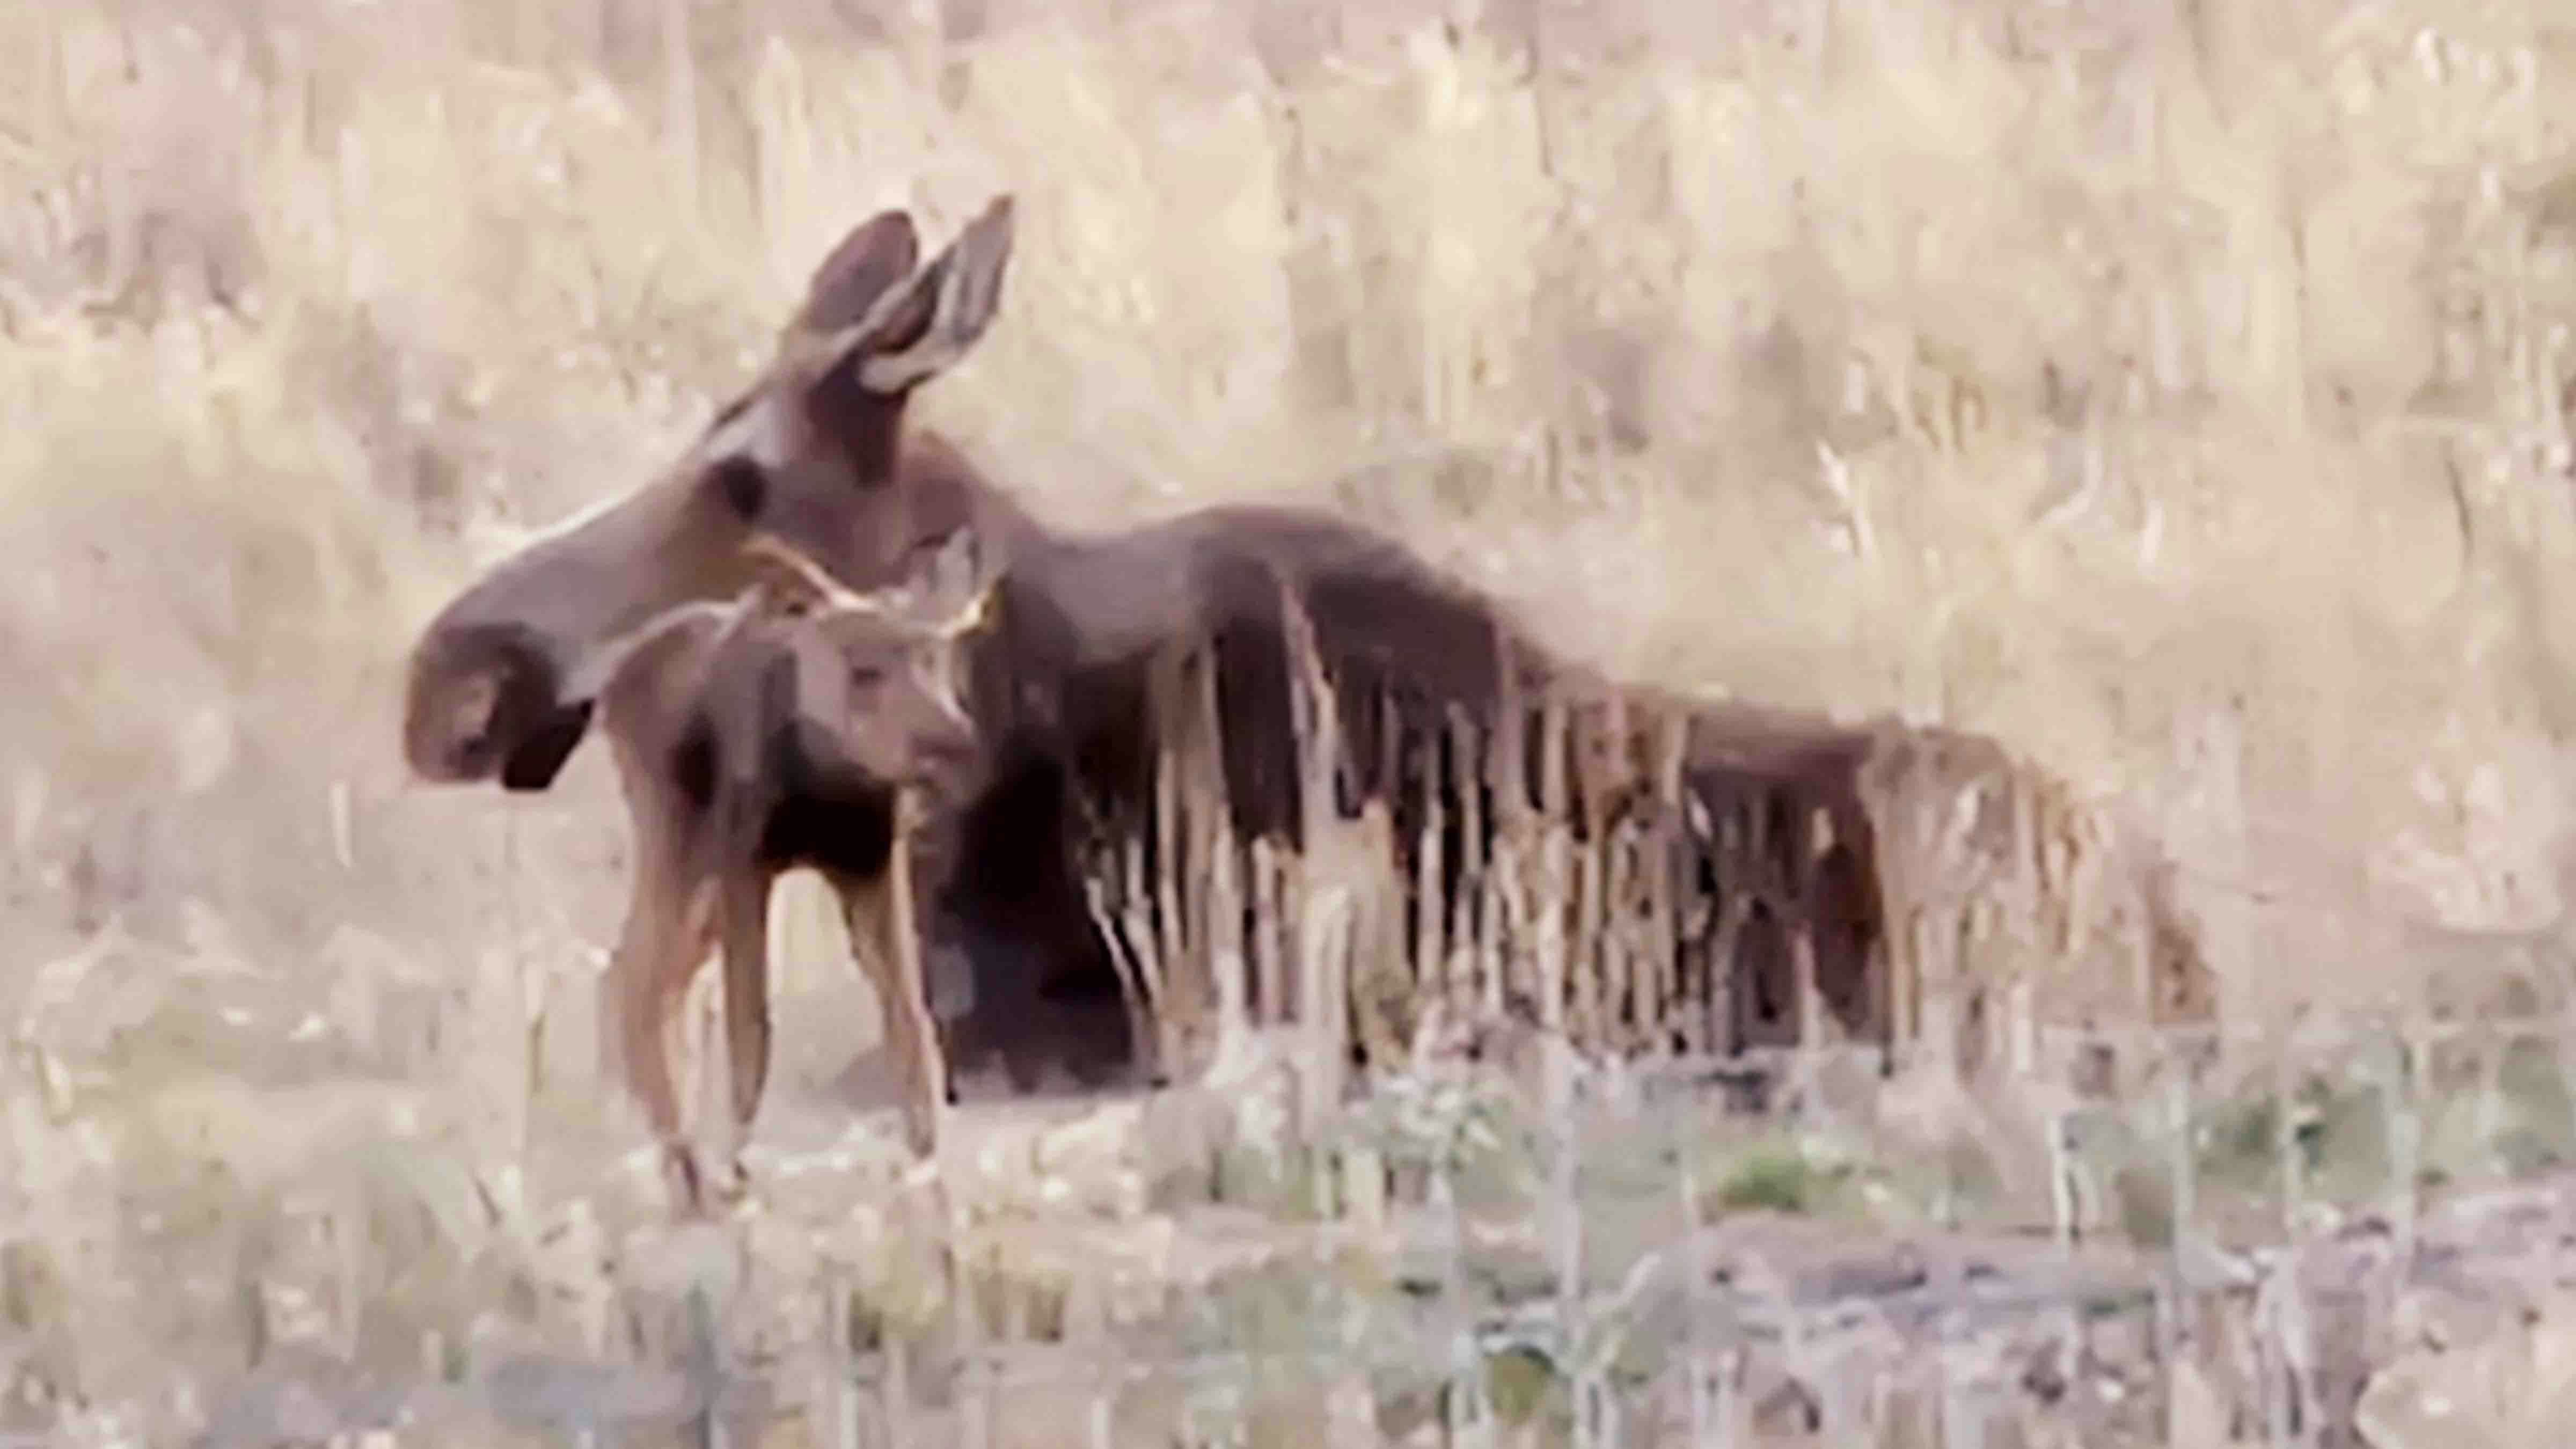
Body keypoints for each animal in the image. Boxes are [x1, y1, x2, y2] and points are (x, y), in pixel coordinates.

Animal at [592, 523, 994, 1201]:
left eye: (938, 657)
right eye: (863, 670)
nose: (956, 747)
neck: (823, 787)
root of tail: (609, 689)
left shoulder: (871, 867)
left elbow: (911, 1029)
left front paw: (932, 1173)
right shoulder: (746, 867)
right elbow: (750, 1033)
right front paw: (736, 1174)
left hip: (696, 881)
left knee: (646, 975)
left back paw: (682, 1170)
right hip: (677, 845)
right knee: (636, 977)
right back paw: (687, 1171)